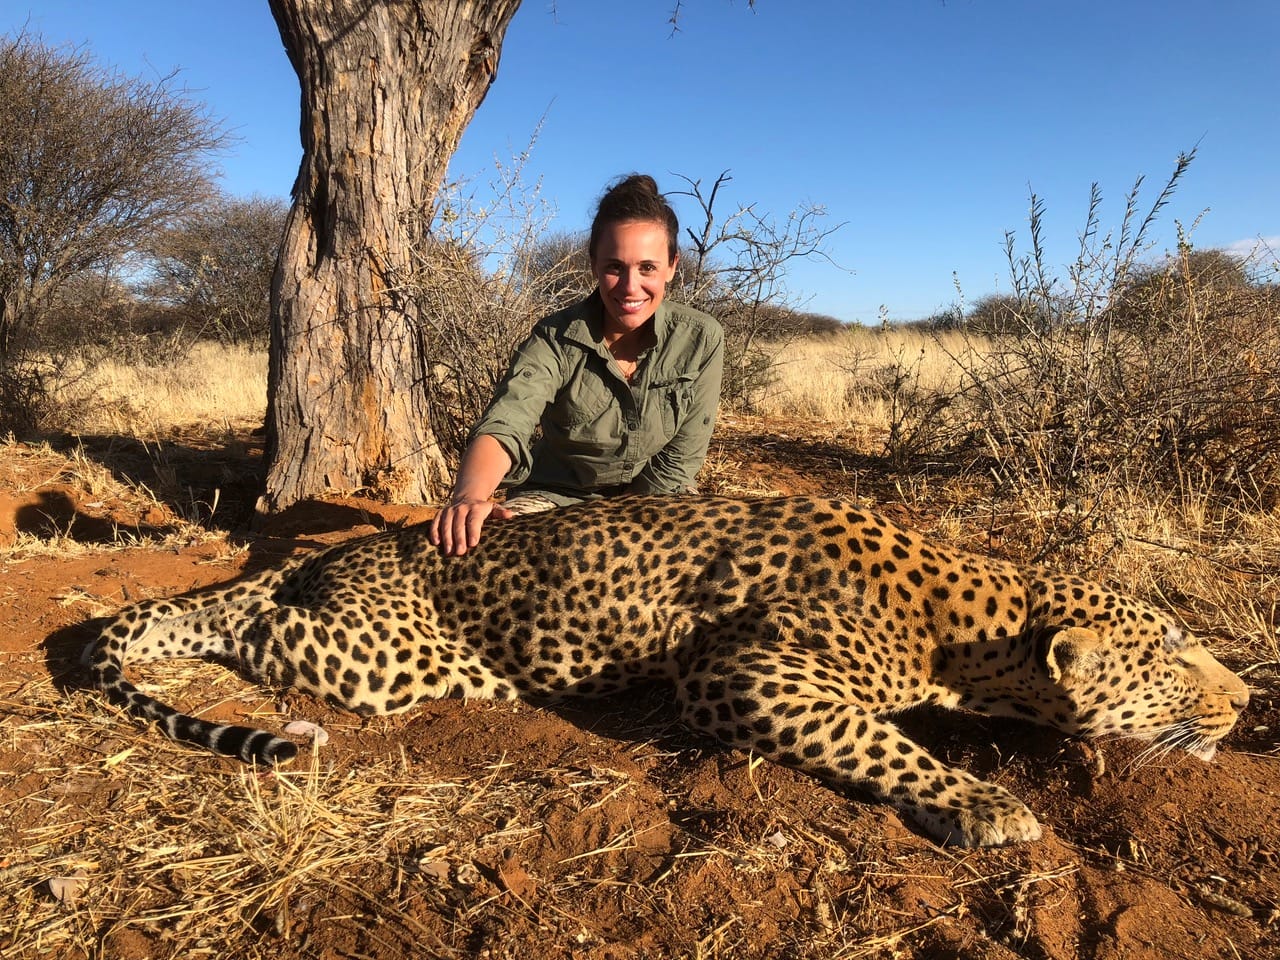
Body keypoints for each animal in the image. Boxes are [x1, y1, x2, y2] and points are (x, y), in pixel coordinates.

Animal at [85, 496, 1244, 849]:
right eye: (1173, 655)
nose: (1245, 699)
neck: (969, 625)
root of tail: (354, 549)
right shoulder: (740, 672)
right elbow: (876, 738)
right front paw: (984, 806)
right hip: (377, 656)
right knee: (242, 617)